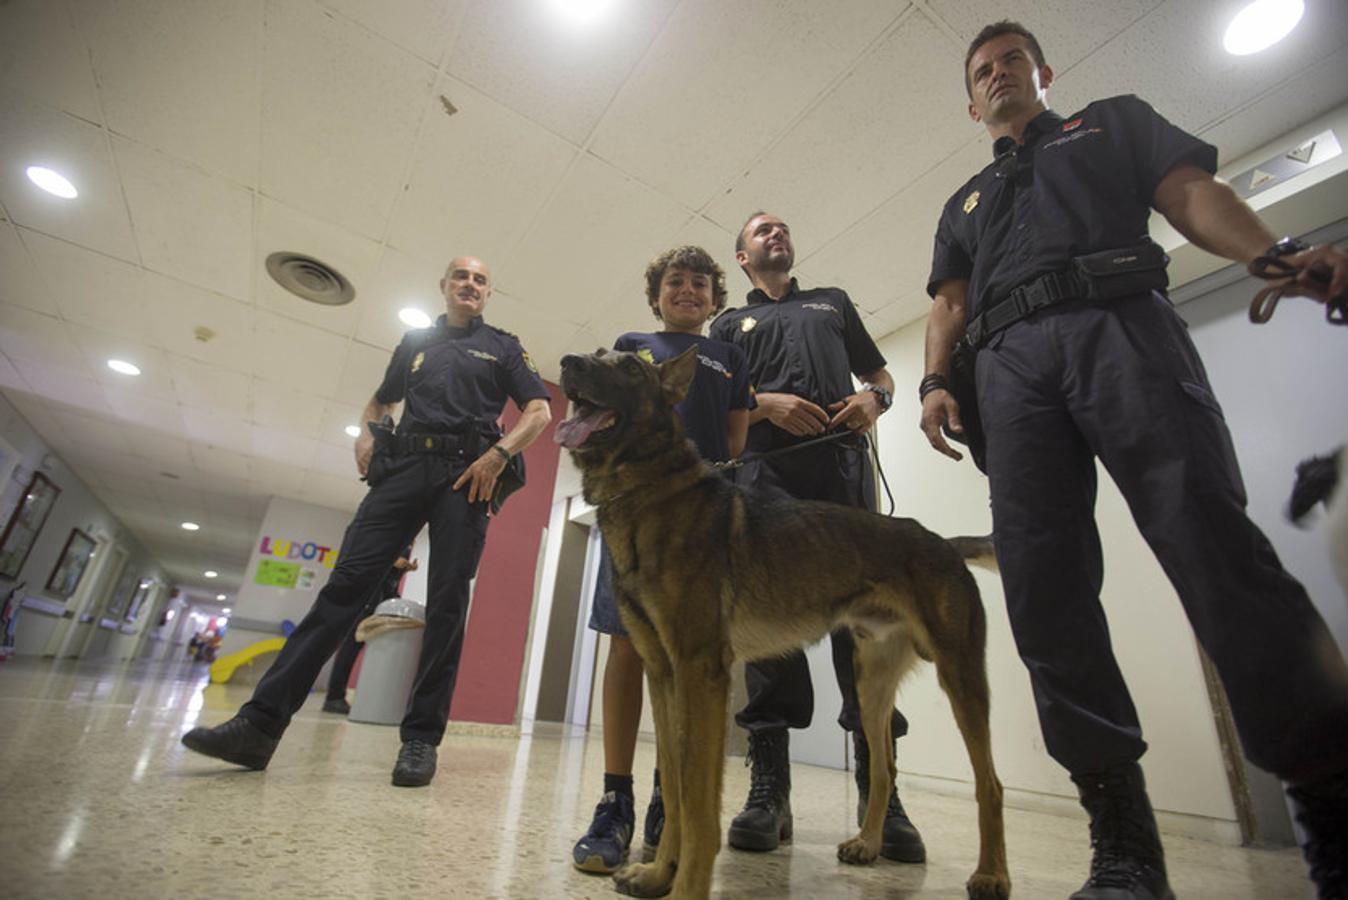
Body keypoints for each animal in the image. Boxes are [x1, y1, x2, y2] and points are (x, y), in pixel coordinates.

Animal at [552, 347, 1008, 894]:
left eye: (631, 369)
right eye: (599, 355)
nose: (569, 363)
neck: (651, 488)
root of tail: (944, 543)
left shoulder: (701, 673)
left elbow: (696, 798)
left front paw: (687, 886)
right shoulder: (663, 675)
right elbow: (676, 783)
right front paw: (660, 872)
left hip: (961, 679)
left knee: (990, 784)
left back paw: (991, 873)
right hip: (871, 686)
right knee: (884, 769)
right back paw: (868, 843)